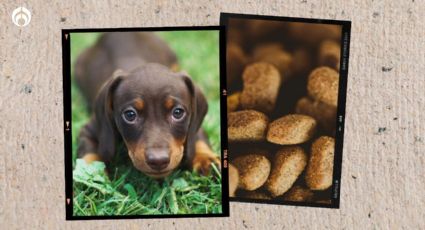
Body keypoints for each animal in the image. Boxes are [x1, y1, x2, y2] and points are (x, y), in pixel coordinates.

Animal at [74, 31, 219, 178]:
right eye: (130, 115)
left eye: (178, 112)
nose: (158, 161)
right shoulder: (89, 130)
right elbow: (88, 155)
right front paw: (89, 174)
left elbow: (199, 139)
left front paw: (207, 160)